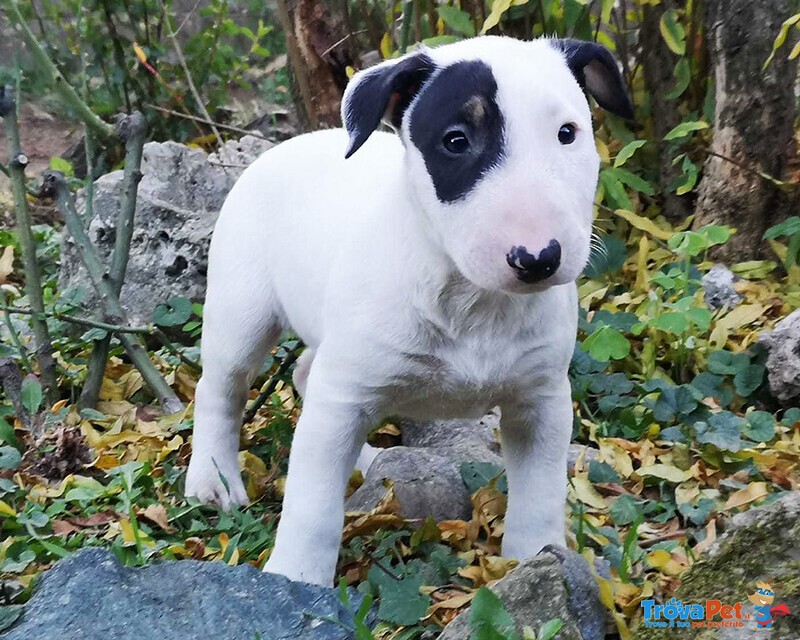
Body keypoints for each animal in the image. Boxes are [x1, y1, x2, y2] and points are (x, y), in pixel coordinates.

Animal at [186, 35, 632, 584]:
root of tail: (285, 146)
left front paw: (537, 558)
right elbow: (312, 504)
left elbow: (540, 490)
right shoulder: (341, 396)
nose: (538, 258)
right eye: (456, 141)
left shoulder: (541, 400)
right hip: (242, 309)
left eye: (567, 134)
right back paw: (212, 478)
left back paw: (366, 457)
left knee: (307, 374)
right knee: (221, 387)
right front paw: (295, 578)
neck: (469, 298)